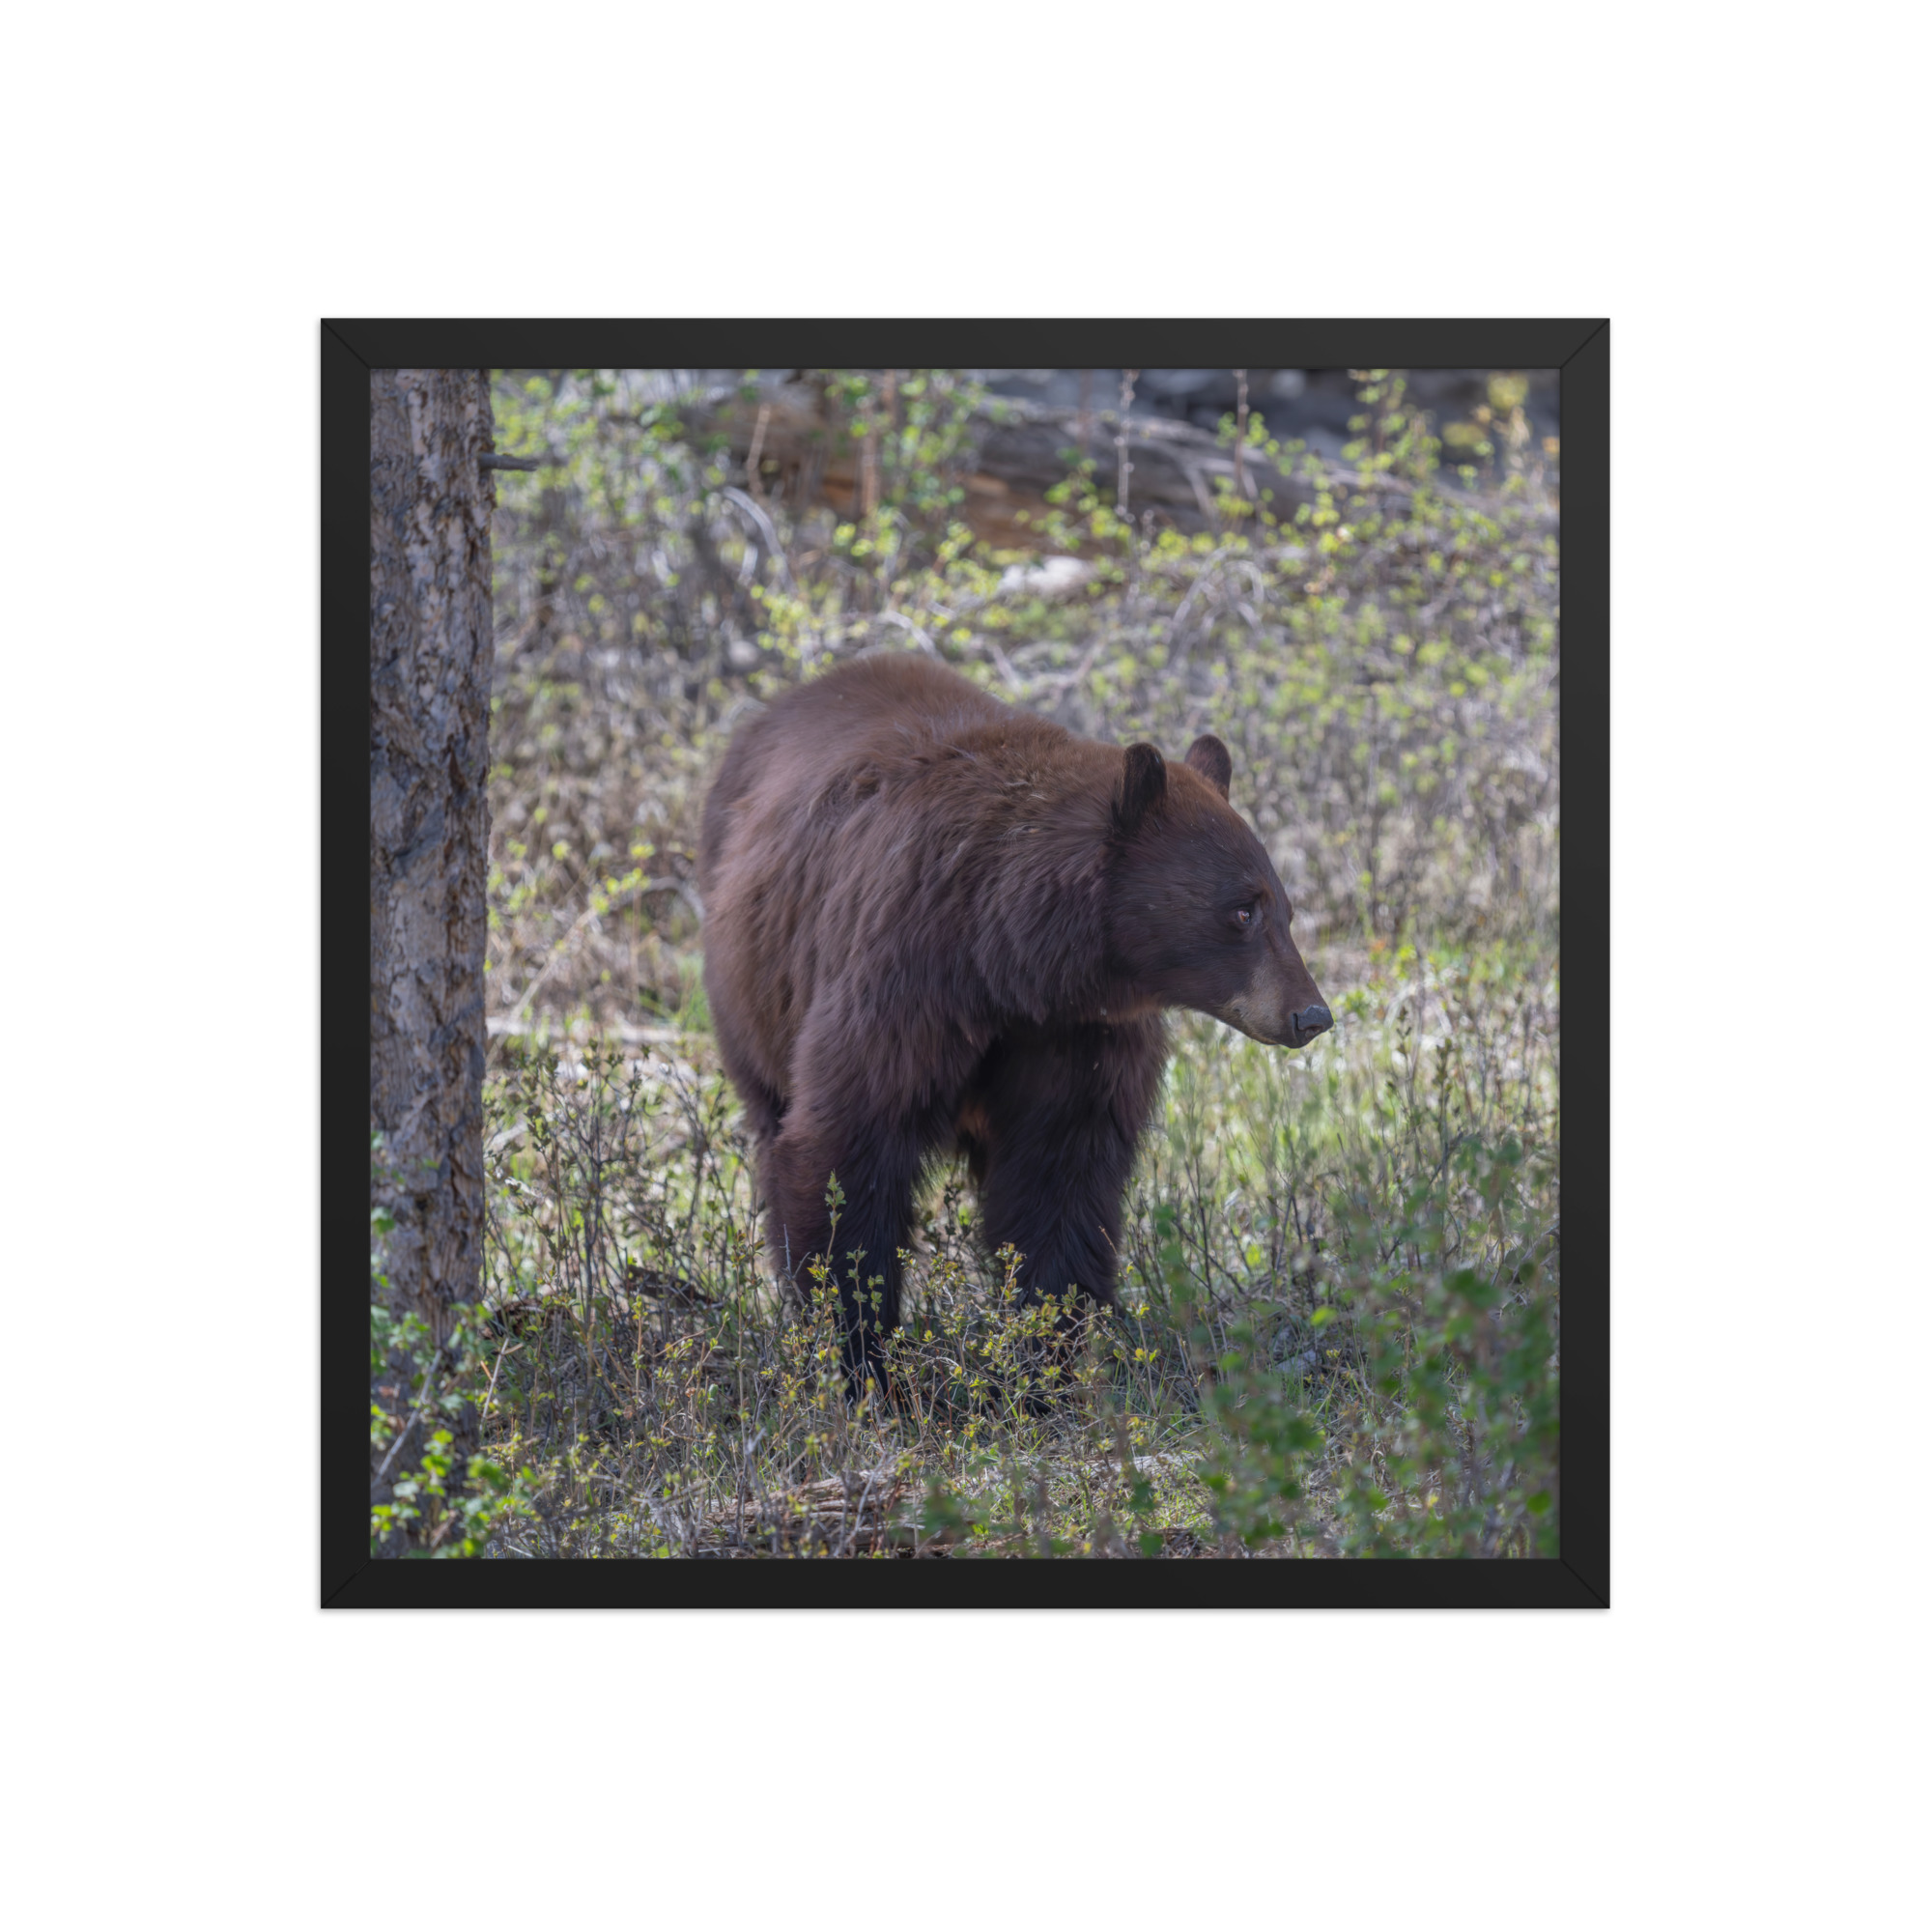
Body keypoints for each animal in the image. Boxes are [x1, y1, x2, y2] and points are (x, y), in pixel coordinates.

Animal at [697, 650, 1330, 1380]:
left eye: (1285, 909)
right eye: (1243, 910)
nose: (1311, 1015)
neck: (1008, 960)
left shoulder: (1077, 1035)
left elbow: (1059, 1179)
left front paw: (1044, 1360)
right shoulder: (901, 979)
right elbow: (847, 1148)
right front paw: (862, 1356)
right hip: (752, 992)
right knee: (773, 1125)